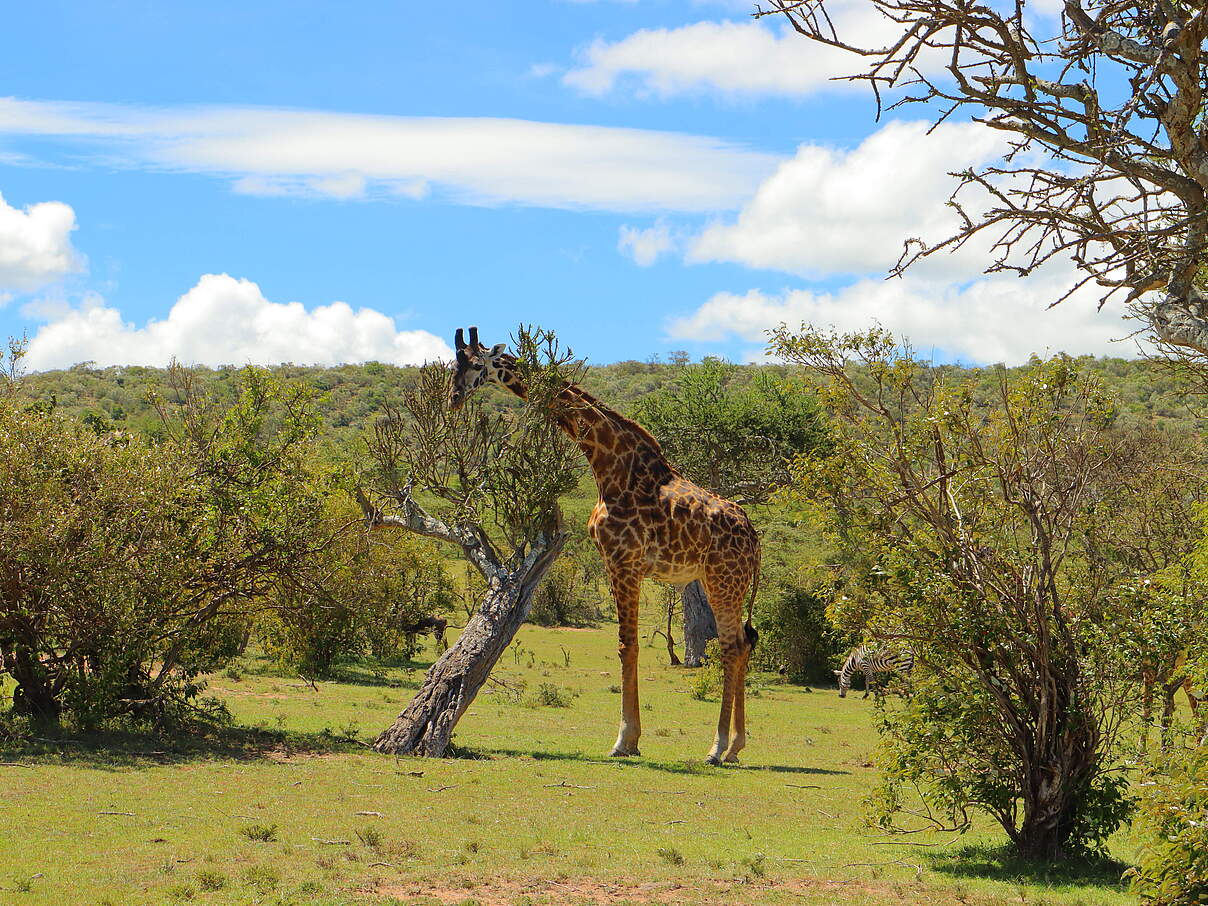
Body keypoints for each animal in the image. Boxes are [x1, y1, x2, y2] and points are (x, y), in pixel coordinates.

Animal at [449, 327, 761, 764]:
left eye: (477, 364)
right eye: (452, 363)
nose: (454, 397)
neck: (609, 465)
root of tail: (754, 537)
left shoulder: (623, 561)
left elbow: (626, 645)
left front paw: (624, 741)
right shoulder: (618, 563)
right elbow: (627, 645)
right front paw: (630, 739)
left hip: (723, 580)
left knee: (732, 647)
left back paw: (716, 748)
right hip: (724, 581)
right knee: (743, 644)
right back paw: (735, 746)